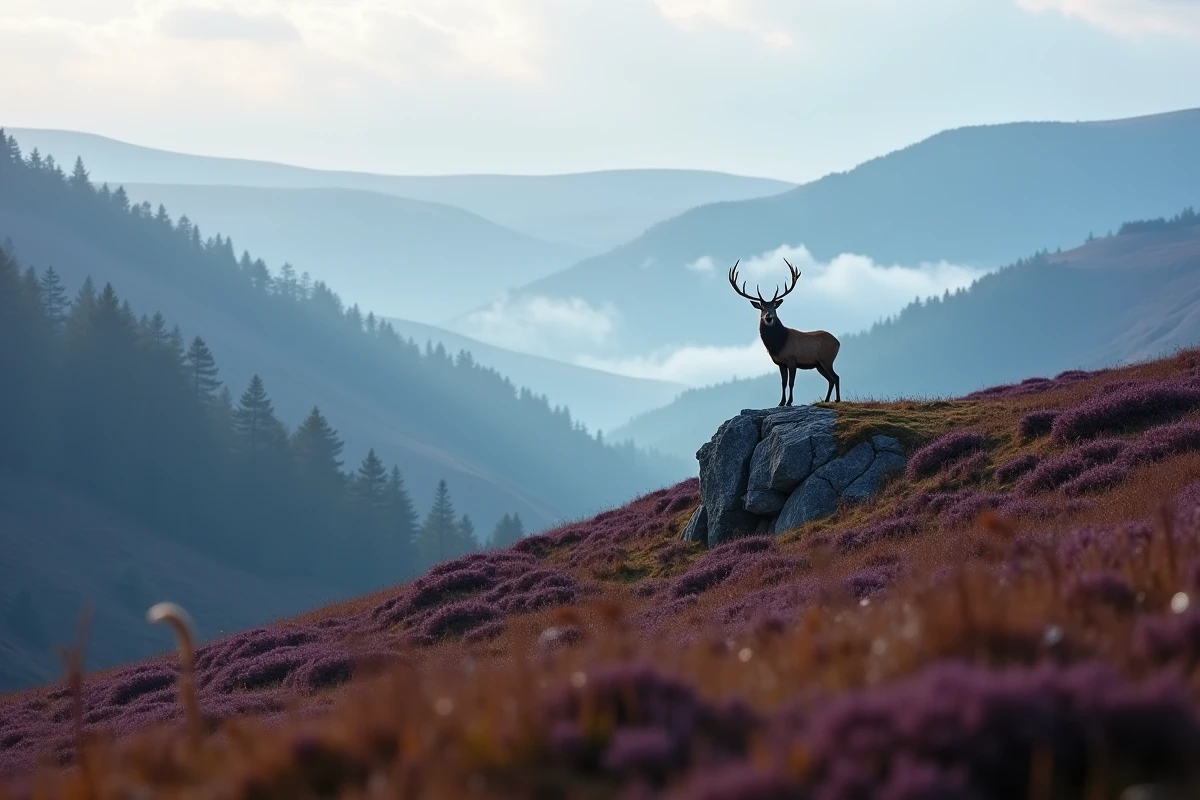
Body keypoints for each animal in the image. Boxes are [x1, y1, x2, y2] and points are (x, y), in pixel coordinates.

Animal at [728, 257, 841, 406]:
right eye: (762, 308)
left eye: (774, 307)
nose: (768, 317)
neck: (778, 345)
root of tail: (838, 342)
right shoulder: (781, 363)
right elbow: (783, 383)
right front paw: (781, 402)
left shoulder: (792, 359)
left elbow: (791, 383)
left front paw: (789, 402)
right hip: (819, 364)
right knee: (831, 379)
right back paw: (827, 400)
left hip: (827, 359)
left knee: (836, 377)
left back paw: (837, 399)